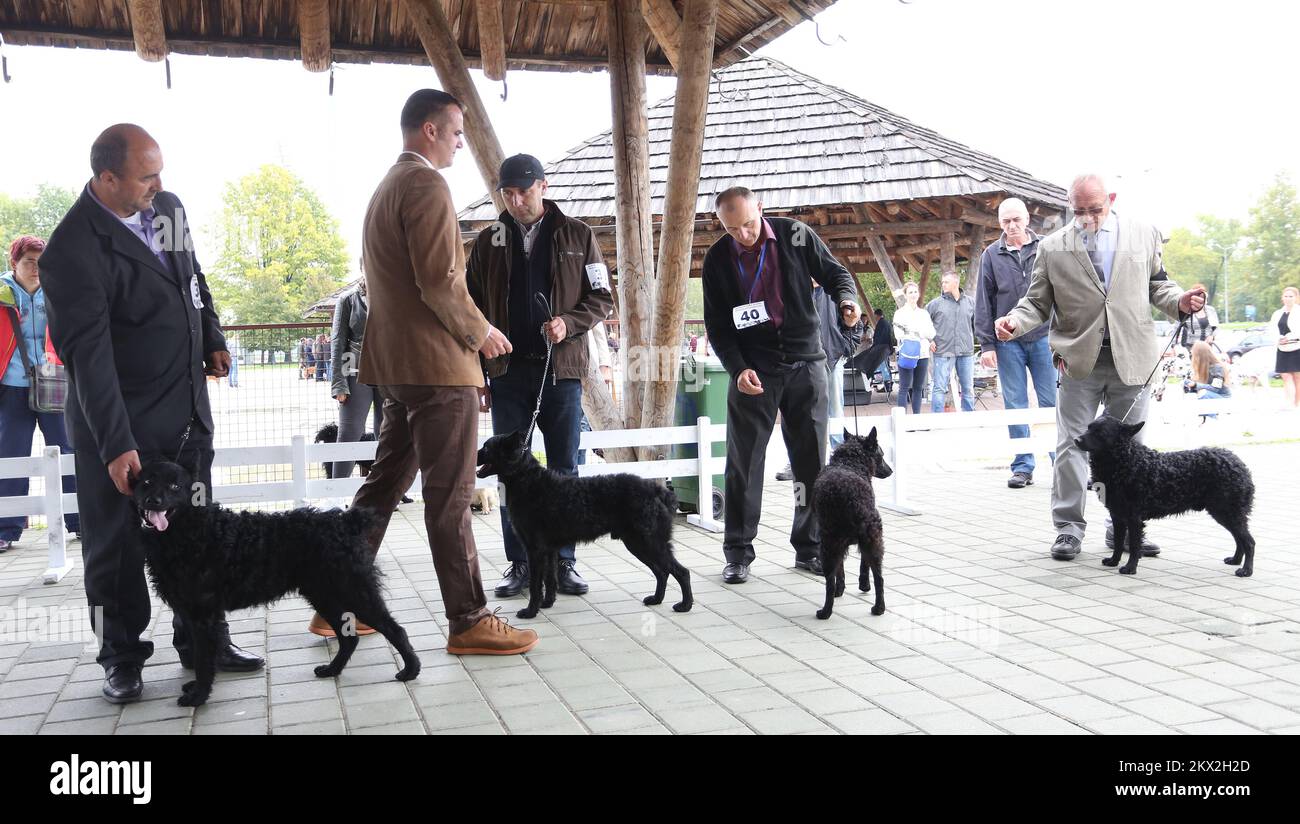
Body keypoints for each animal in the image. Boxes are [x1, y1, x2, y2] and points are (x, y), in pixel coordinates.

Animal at [132, 460, 418, 701]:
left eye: (174, 485)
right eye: (146, 481)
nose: (152, 500)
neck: (194, 531)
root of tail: (345, 521)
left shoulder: (203, 615)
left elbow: (203, 661)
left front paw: (198, 696)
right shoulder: (191, 612)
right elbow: (201, 655)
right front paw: (196, 689)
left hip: (354, 592)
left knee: (395, 630)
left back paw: (410, 671)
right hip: (325, 595)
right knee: (349, 639)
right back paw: (332, 670)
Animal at [470, 428, 691, 616]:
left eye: (487, 447)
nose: (473, 454)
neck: (529, 481)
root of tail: (659, 491)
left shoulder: (535, 549)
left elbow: (535, 584)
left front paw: (531, 611)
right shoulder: (549, 550)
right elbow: (550, 579)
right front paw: (547, 603)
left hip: (648, 542)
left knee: (681, 571)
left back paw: (685, 605)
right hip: (640, 544)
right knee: (662, 572)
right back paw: (656, 599)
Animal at [811, 428, 894, 616]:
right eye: (881, 454)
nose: (891, 471)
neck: (848, 463)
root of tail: (853, 500)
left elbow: (842, 570)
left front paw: (842, 589)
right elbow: (861, 565)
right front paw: (860, 585)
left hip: (830, 544)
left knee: (829, 581)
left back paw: (826, 611)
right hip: (872, 540)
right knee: (879, 577)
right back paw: (878, 608)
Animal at [1071, 413, 1253, 574]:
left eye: (1100, 433)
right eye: (1088, 427)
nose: (1076, 440)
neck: (1126, 461)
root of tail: (1239, 463)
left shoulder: (1134, 518)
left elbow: (1135, 546)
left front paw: (1130, 568)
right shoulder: (1117, 515)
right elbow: (1117, 542)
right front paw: (1113, 561)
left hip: (1227, 512)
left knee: (1249, 542)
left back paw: (1245, 570)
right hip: (1226, 513)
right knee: (1240, 539)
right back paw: (1235, 560)